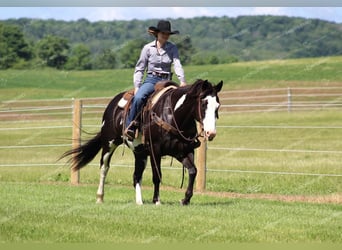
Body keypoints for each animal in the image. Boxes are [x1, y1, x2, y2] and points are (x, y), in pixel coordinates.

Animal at [60, 78, 222, 205]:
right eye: (204, 103)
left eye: (217, 105)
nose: (211, 133)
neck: (174, 115)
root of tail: (112, 104)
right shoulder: (156, 150)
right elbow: (157, 176)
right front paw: (157, 200)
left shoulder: (183, 151)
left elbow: (193, 171)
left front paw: (185, 199)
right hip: (109, 143)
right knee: (104, 168)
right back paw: (100, 197)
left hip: (139, 152)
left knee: (136, 176)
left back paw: (139, 201)